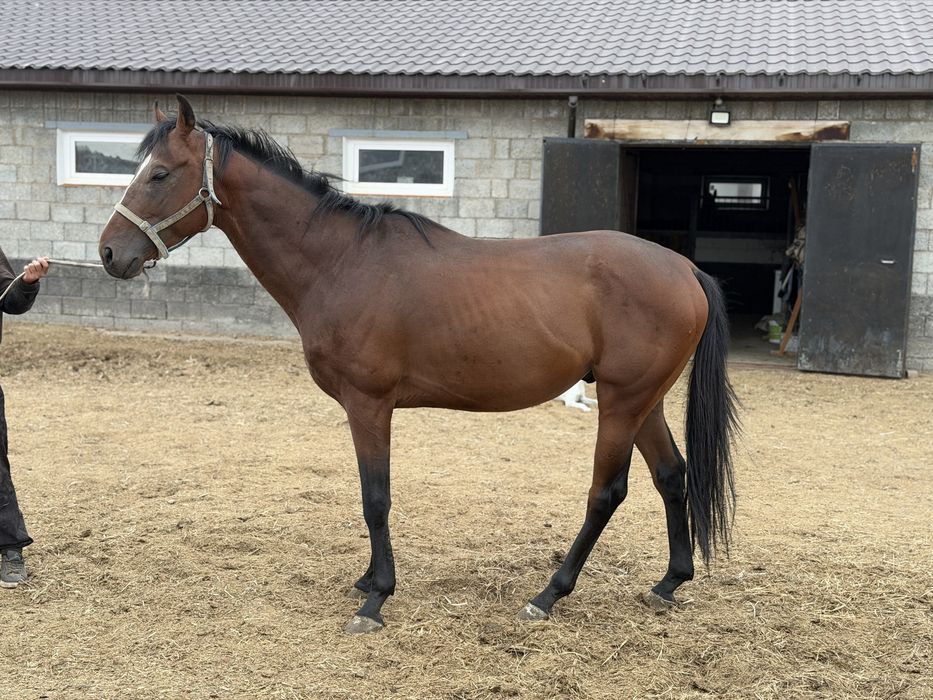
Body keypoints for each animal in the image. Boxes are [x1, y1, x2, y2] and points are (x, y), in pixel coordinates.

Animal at [98, 96, 738, 634]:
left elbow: (375, 497)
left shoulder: (369, 404)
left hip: (623, 403)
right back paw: (669, 582)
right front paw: (366, 581)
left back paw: (548, 595)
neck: (343, 261)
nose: (109, 253)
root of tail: (684, 269)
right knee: (671, 476)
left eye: (159, 174)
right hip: (642, 401)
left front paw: (376, 598)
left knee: (606, 493)